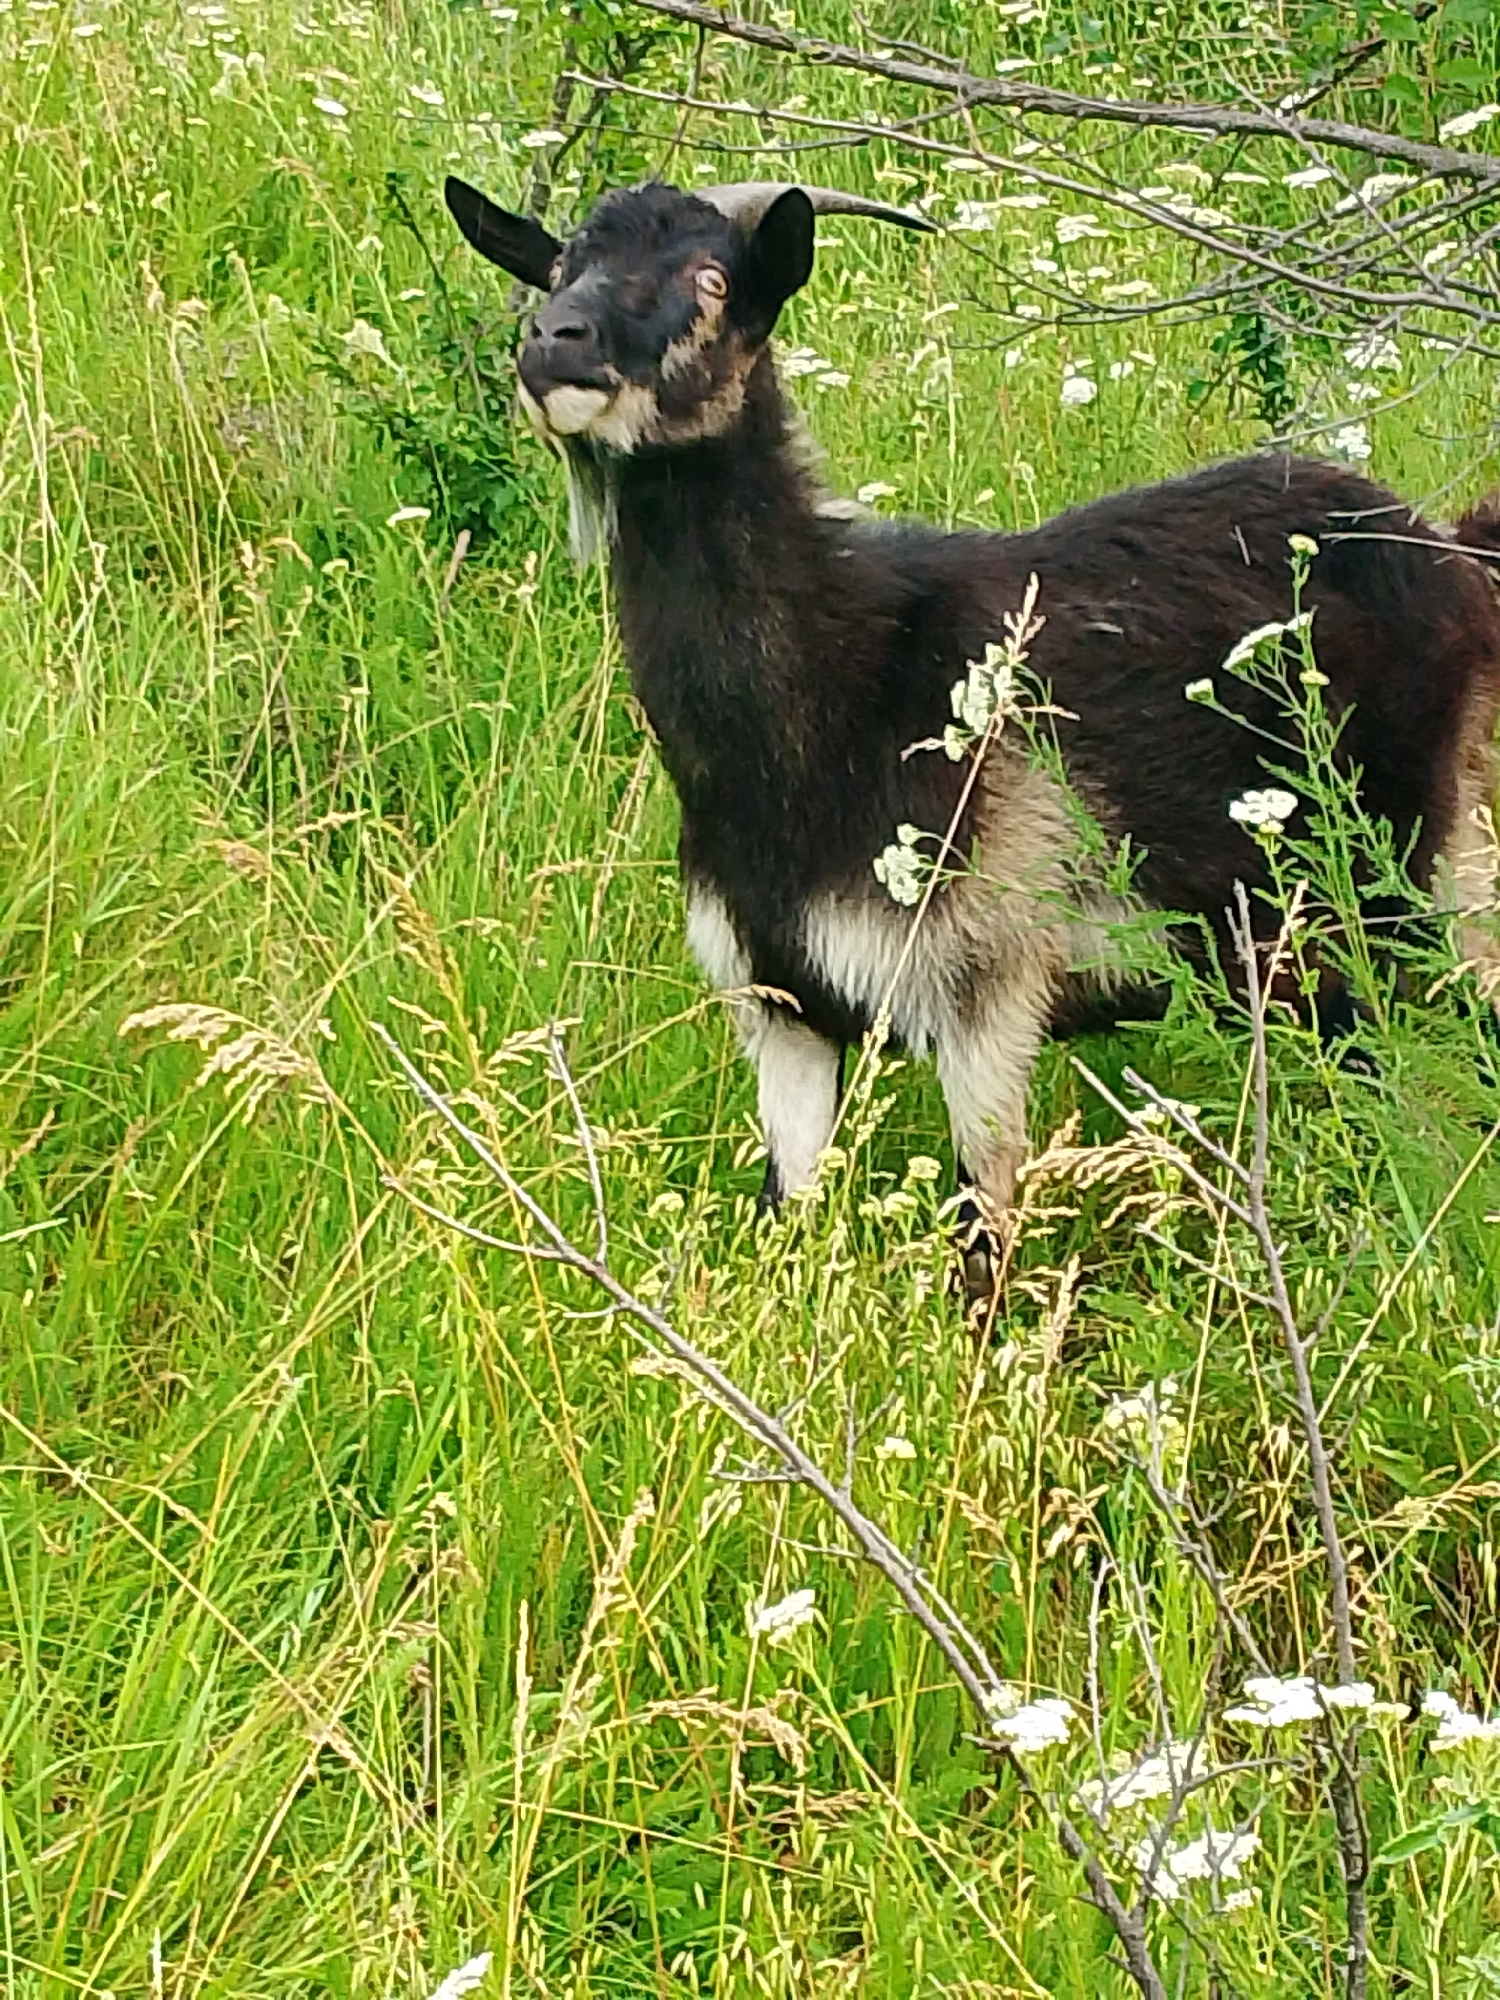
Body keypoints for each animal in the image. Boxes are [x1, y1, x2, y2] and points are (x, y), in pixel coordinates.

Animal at [444, 173, 1500, 1296]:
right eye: (559, 266)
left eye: (713, 279)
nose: (552, 344)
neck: (835, 696)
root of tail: (1454, 554)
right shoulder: (780, 1008)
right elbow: (787, 1214)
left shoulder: (984, 988)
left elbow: (981, 1238)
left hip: (1436, 867)